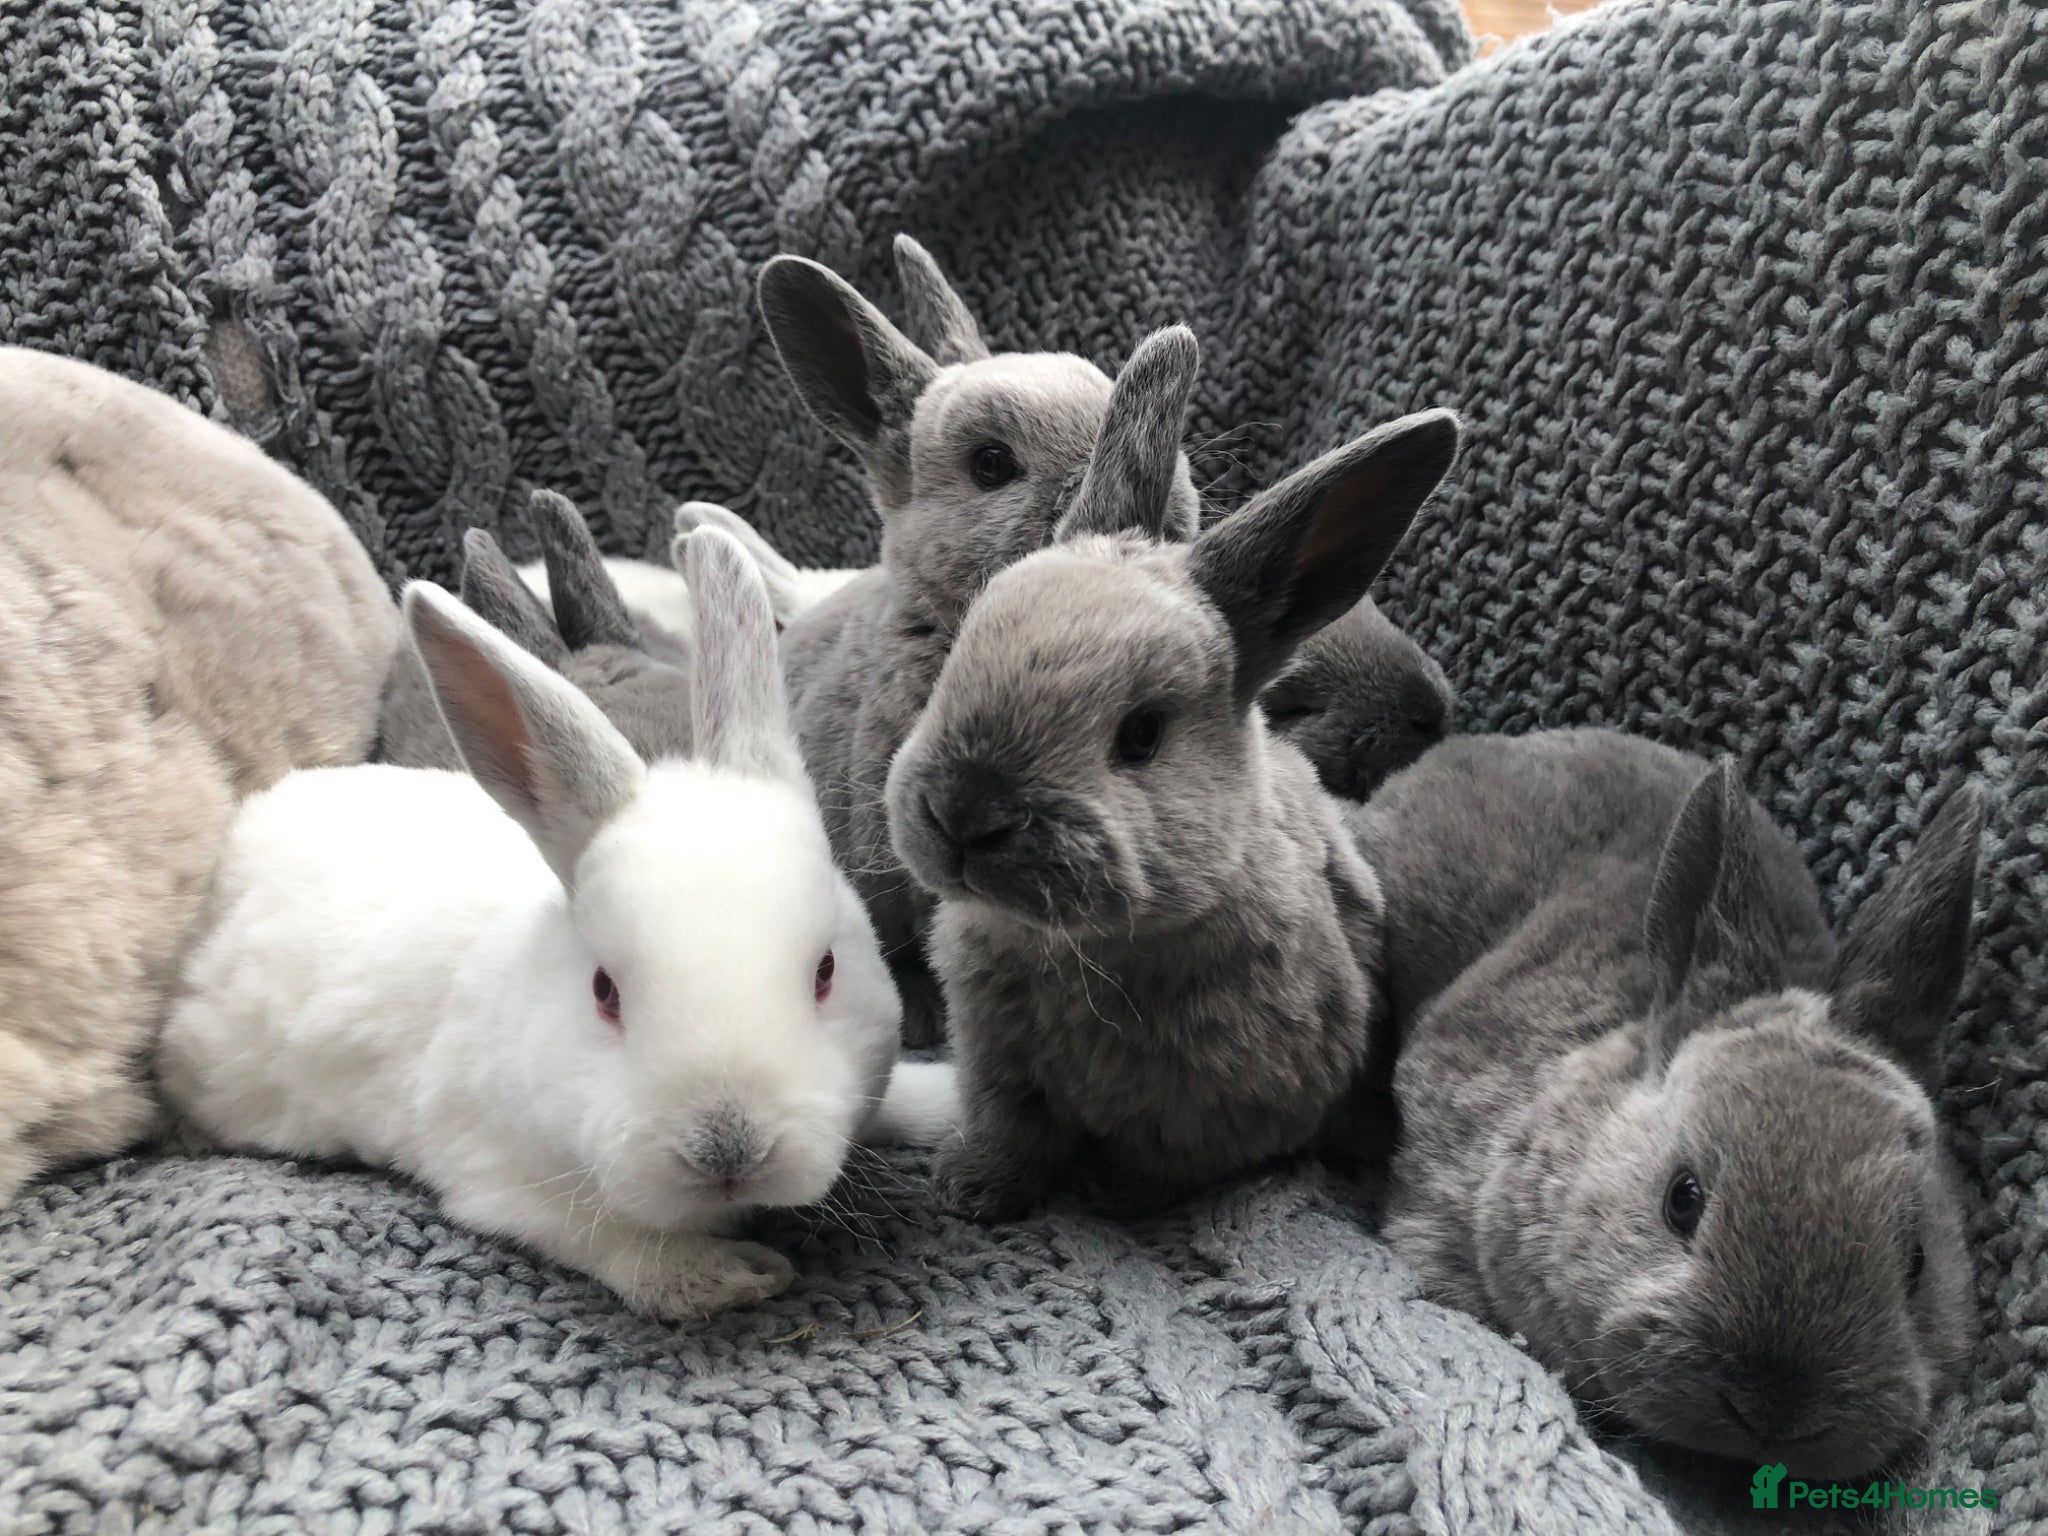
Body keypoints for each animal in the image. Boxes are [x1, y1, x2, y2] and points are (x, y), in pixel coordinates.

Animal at [160, 528, 948, 1320]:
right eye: (604, 993)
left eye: (826, 972)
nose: (729, 1151)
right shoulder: (499, 1175)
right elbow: (620, 1244)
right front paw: (732, 1276)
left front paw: (945, 1101)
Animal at [884, 322, 1463, 1221]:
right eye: (961, 656)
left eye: (1143, 733)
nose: (962, 815)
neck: (1088, 949)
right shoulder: (996, 1064)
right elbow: (1012, 1129)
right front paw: (973, 1191)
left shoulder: (1231, 1111)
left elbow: (1167, 1163)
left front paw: (1113, 1194)